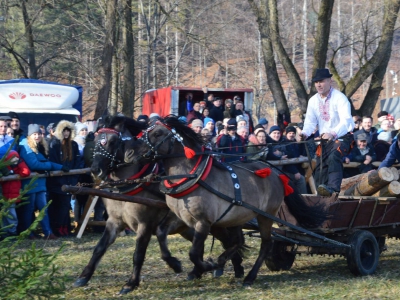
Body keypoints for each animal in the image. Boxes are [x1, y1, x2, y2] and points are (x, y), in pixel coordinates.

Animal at [125, 115, 328, 286]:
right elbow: (161, 233)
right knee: (237, 241)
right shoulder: (180, 217)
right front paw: (175, 264)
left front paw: (206, 266)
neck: (192, 177)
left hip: (265, 216)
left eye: (157, 134)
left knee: (265, 244)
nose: (129, 154)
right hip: (236, 217)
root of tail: (277, 173)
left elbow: (194, 253)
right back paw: (226, 262)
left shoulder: (203, 222)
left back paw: (248, 276)